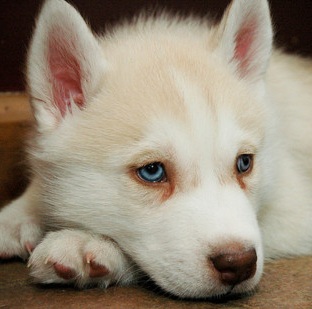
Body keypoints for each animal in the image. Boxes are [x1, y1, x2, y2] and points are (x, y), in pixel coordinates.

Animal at [0, 0, 312, 298]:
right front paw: (18, 215)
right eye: (152, 171)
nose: (239, 264)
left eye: (244, 163)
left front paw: (89, 243)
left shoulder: (295, 207)